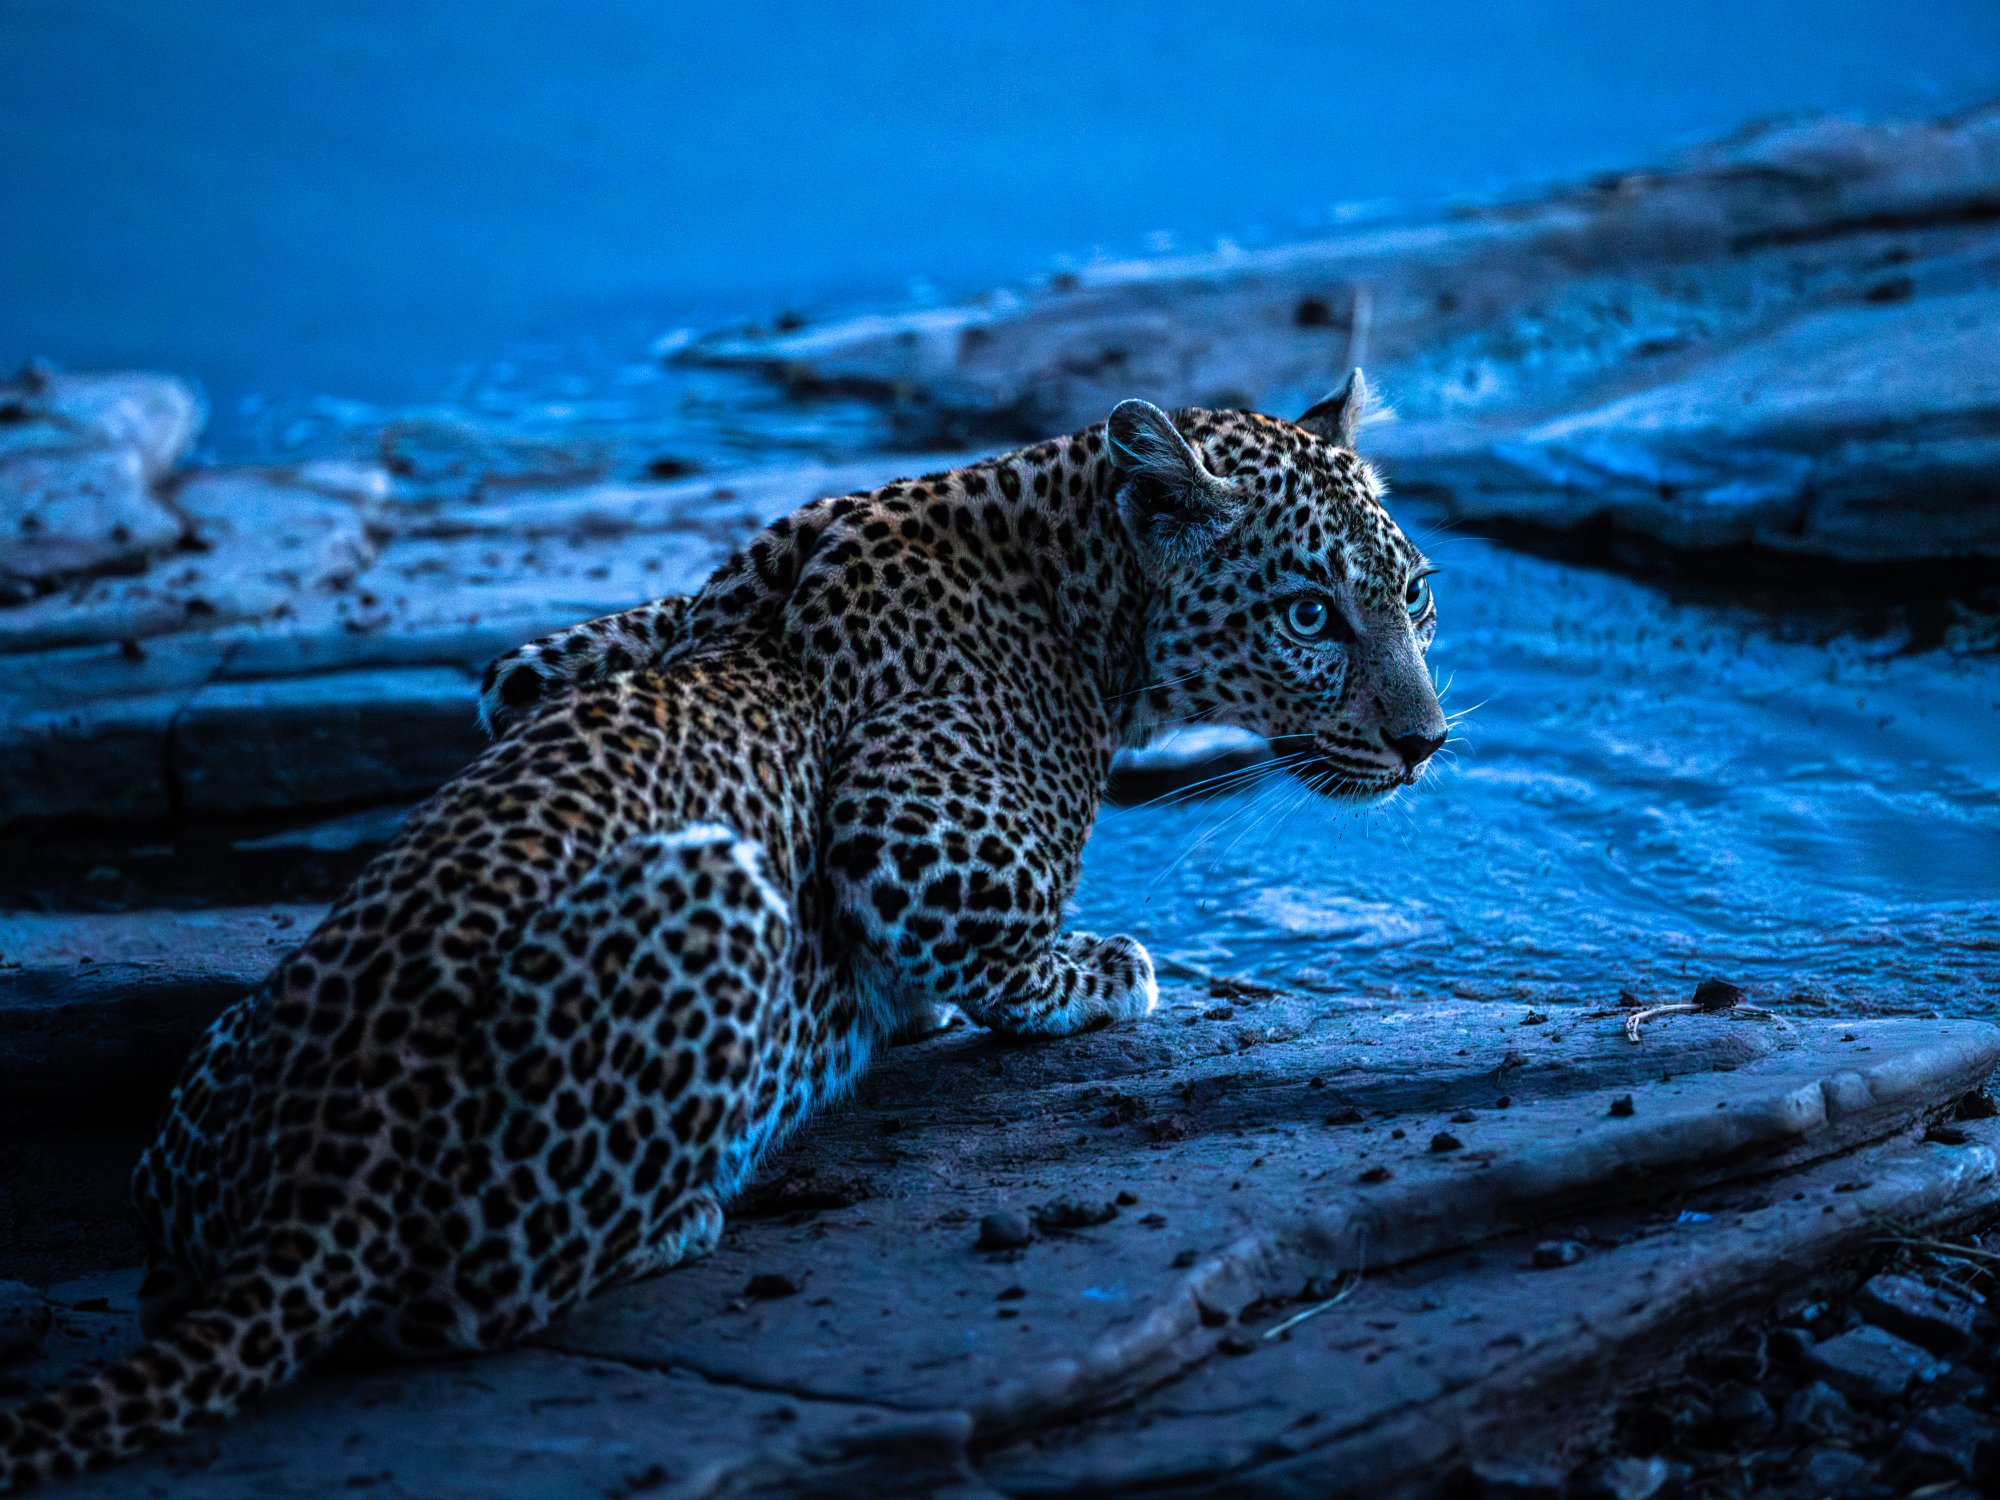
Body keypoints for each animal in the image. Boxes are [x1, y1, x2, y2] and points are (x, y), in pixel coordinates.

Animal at [0, 371, 1445, 1490]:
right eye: (1310, 614)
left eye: (1418, 596)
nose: (1427, 743)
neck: (1067, 568)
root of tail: (313, 1190)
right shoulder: (909, 824)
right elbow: (999, 947)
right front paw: (1099, 970)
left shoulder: (548, 663)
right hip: (711, 891)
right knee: (470, 1303)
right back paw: (681, 1218)